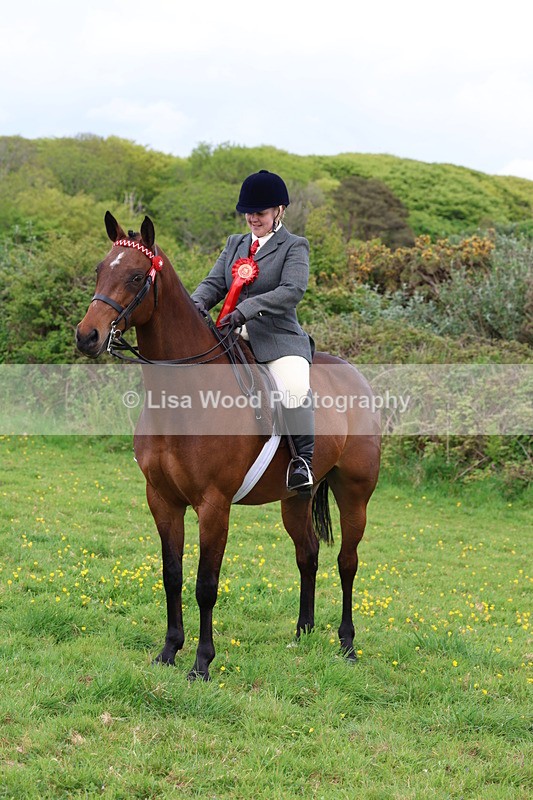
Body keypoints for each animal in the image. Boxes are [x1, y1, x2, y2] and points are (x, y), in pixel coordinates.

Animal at [76, 212, 381, 681]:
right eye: (98, 270)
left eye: (135, 276)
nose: (86, 337)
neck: (183, 399)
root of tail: (356, 376)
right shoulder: (161, 499)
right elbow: (172, 574)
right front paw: (169, 650)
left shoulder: (213, 504)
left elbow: (206, 584)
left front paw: (201, 663)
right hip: (295, 497)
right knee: (308, 554)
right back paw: (303, 634)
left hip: (355, 494)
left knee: (347, 562)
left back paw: (346, 645)